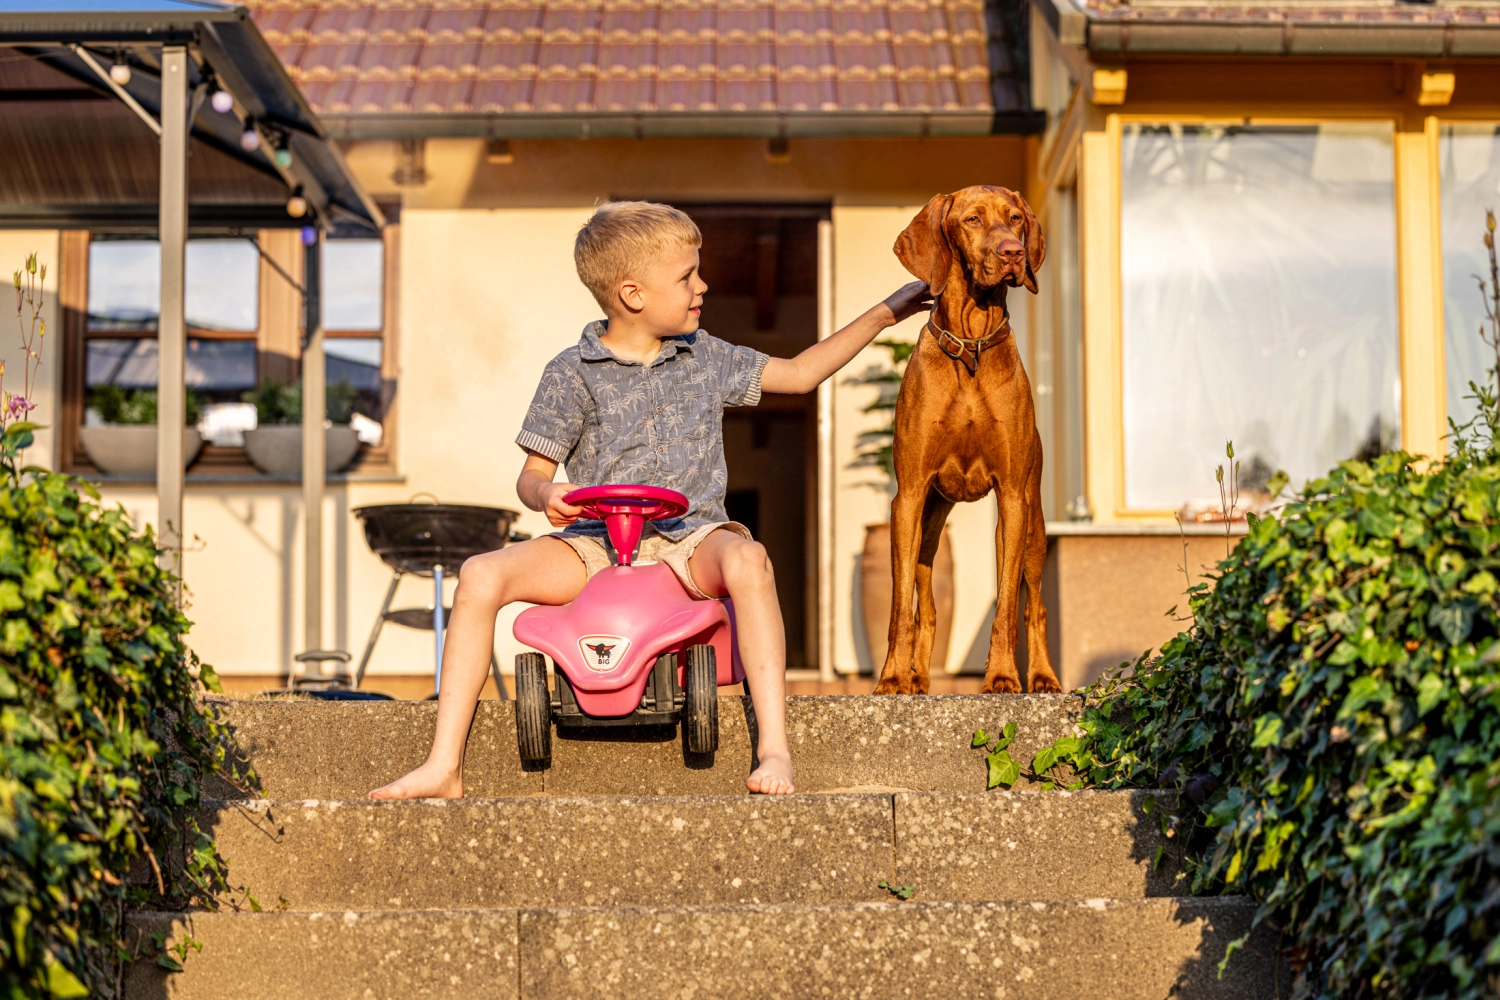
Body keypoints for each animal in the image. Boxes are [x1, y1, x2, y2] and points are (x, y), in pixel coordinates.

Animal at [876, 182, 1062, 695]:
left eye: (1015, 218)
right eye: (972, 220)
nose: (1013, 252)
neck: (972, 346)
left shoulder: (1013, 497)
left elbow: (1007, 607)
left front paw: (1002, 675)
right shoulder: (908, 496)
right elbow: (900, 608)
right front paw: (892, 677)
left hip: (1034, 527)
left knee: (1035, 604)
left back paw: (1042, 675)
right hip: (927, 523)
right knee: (925, 605)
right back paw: (917, 676)